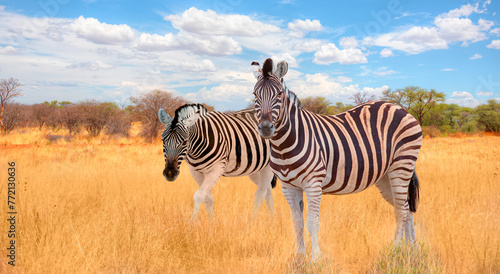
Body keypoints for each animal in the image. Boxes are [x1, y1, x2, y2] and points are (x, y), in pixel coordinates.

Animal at [250, 58, 422, 260]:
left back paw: (395, 249)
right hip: (386, 176)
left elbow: (312, 223)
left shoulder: (313, 183)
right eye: (255, 94)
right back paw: (411, 250)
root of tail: (398, 107)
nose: (265, 128)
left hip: (402, 164)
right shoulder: (288, 186)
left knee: (401, 210)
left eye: (278, 94)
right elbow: (297, 223)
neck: (285, 144)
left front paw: (315, 259)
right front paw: (300, 258)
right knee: (406, 207)